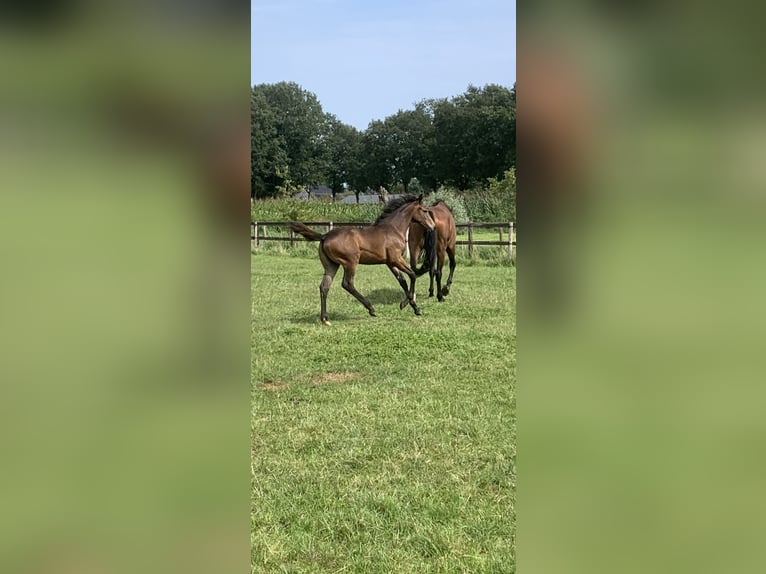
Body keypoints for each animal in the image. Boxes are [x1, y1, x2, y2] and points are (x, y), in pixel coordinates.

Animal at [288, 196, 436, 326]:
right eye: (424, 210)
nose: (433, 226)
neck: (393, 229)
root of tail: (324, 236)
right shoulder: (396, 259)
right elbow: (412, 275)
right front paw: (407, 304)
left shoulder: (389, 262)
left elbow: (403, 281)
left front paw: (413, 307)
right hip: (351, 262)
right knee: (347, 284)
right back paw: (371, 309)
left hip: (331, 265)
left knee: (324, 287)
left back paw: (325, 319)